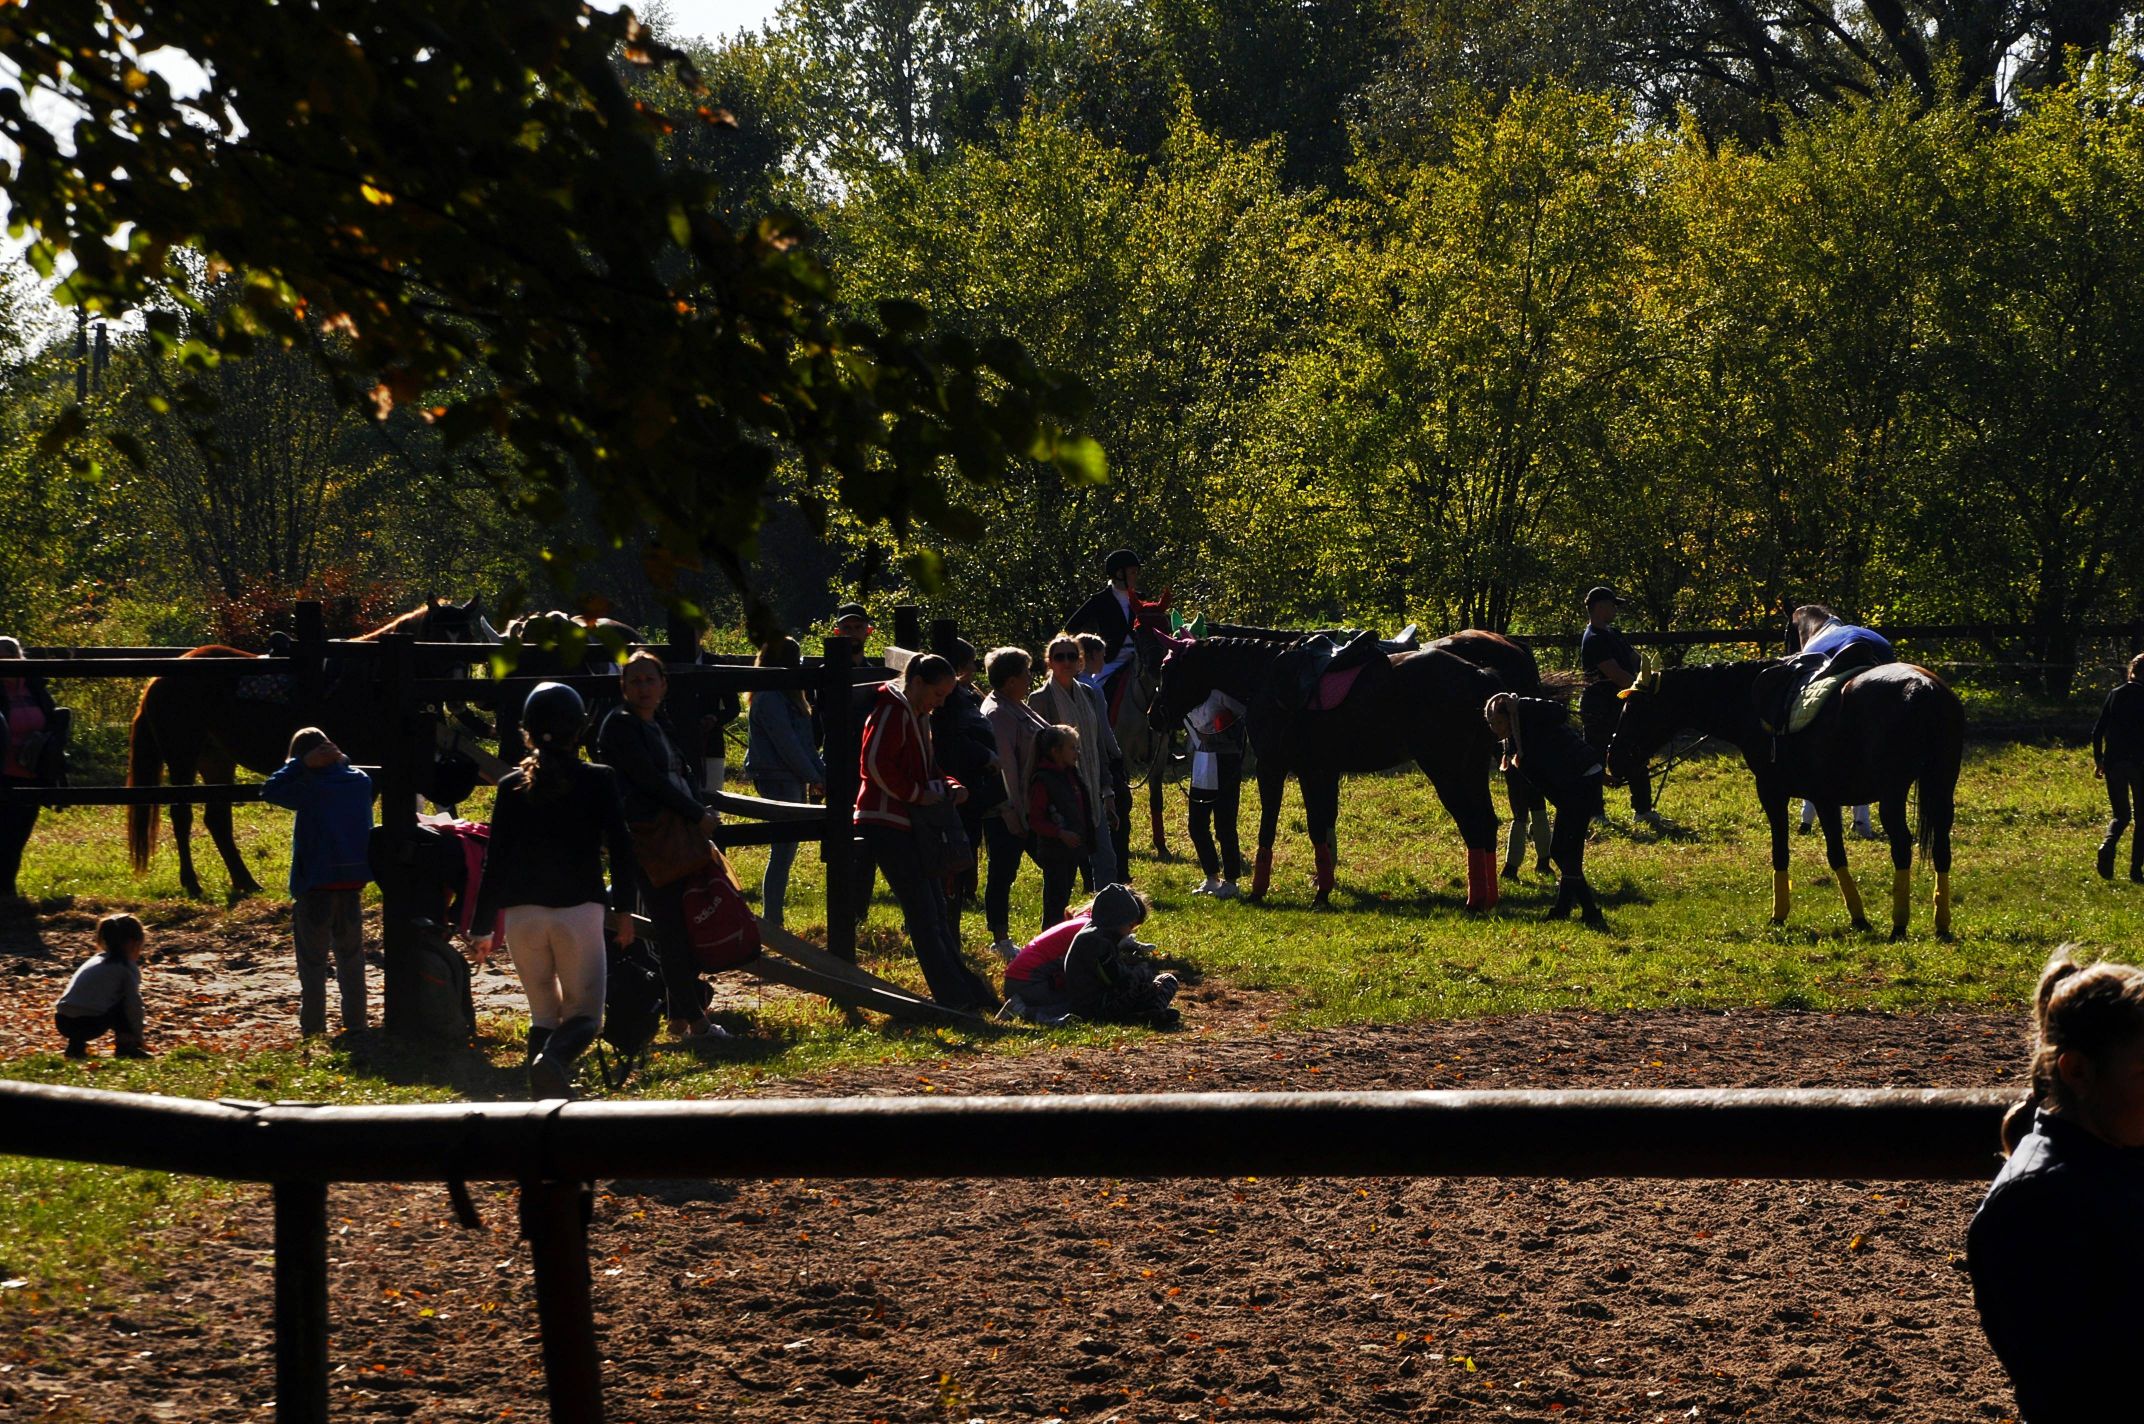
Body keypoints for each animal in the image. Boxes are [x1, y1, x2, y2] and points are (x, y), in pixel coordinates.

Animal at [132, 600, 497, 900]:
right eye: (435, 640)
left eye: (468, 638)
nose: (458, 690)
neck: (375, 681)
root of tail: (161, 678)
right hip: (182, 755)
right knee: (182, 814)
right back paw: (192, 883)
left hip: (216, 760)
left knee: (217, 819)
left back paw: (245, 881)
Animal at [1612, 660, 1963, 943]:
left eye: (1636, 709)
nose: (1612, 759)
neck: (1749, 704)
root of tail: (1923, 687)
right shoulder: (1825, 798)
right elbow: (1836, 855)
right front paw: (1858, 918)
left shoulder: (1774, 792)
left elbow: (1782, 851)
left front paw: (1780, 915)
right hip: (1941, 787)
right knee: (1942, 848)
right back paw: (1941, 923)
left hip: (1893, 793)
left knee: (1902, 845)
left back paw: (1899, 924)